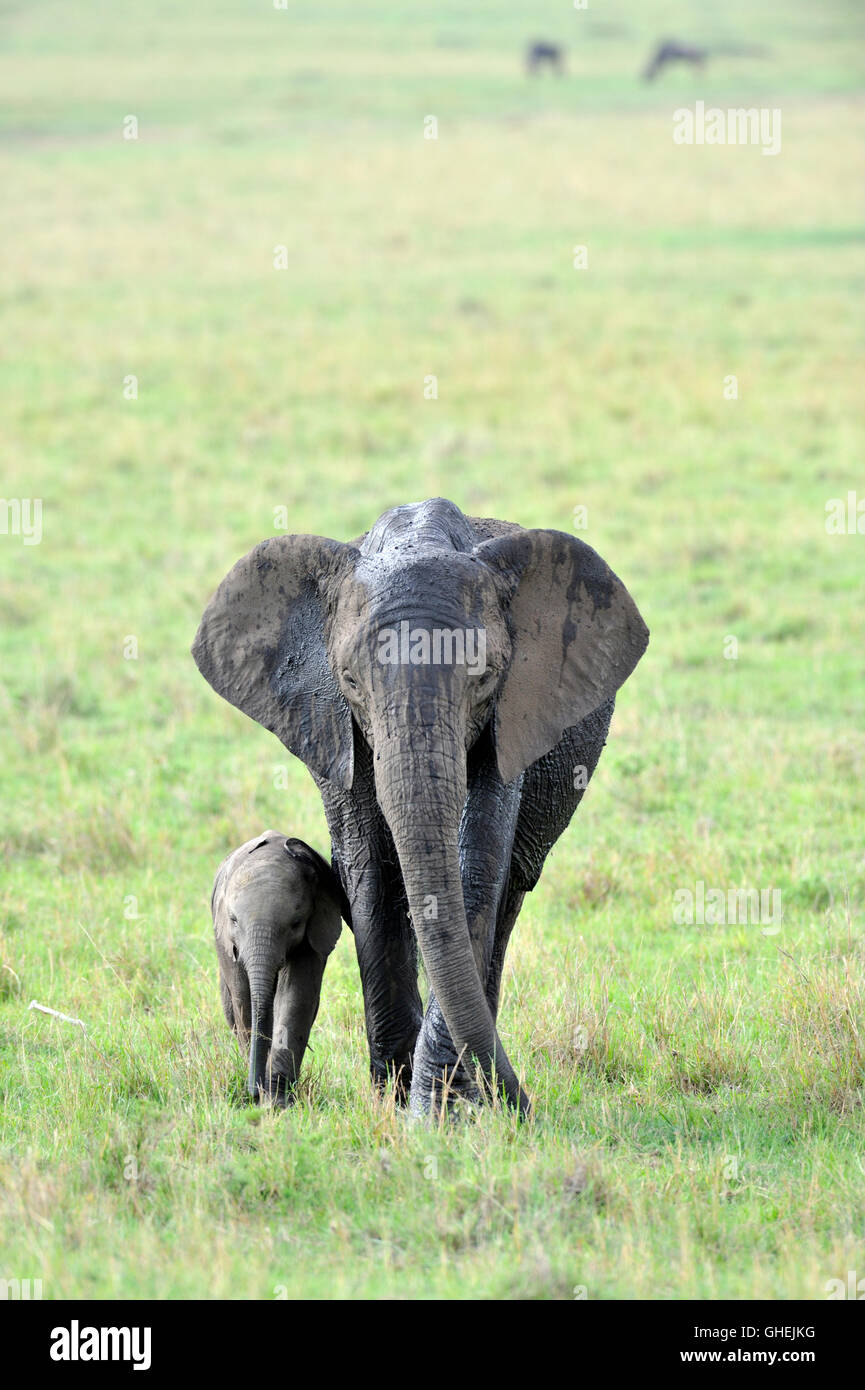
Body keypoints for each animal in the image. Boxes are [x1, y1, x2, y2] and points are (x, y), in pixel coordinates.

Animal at [211, 822, 350, 1106]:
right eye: (233, 920)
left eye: (296, 923)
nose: (253, 1092)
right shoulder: (225, 942)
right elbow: (243, 999)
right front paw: (263, 1098)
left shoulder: (313, 934)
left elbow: (295, 997)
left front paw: (276, 1103)